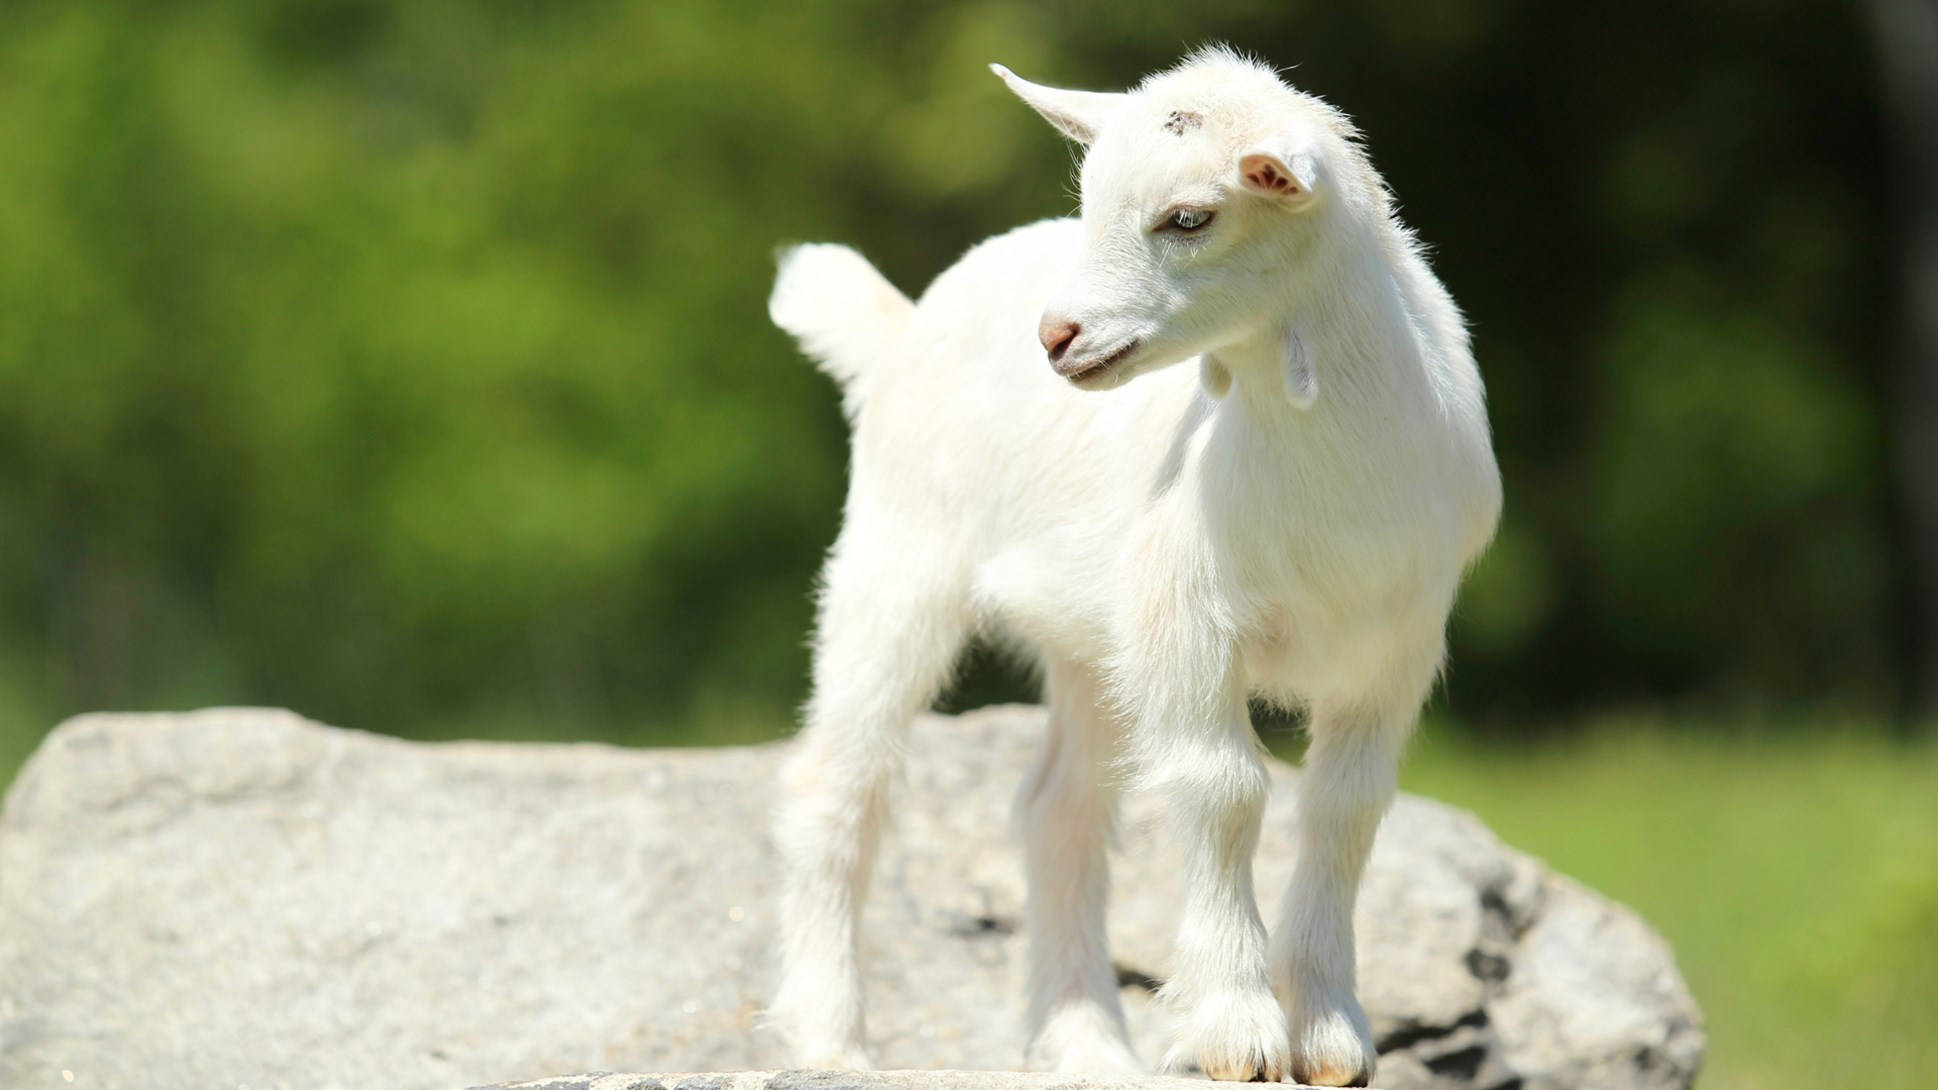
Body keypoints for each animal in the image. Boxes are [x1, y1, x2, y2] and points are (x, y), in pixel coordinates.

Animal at [766, 47, 1501, 1086]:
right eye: (1090, 198)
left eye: (1189, 217)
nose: (1058, 337)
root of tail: (901, 329)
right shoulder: (1186, 617)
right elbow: (1223, 789)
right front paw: (1237, 1030)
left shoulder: (1394, 644)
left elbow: (1345, 809)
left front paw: (1330, 1035)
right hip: (896, 558)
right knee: (840, 787)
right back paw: (831, 1037)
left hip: (1090, 642)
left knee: (1057, 812)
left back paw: (1088, 1048)